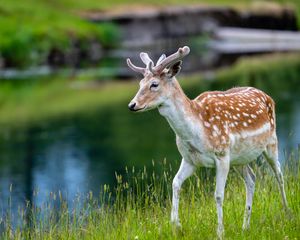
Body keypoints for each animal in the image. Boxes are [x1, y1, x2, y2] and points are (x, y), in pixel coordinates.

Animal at [126, 46, 288, 237]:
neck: (197, 131)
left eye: (154, 84)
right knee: (251, 179)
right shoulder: (190, 159)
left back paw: (287, 213)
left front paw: (220, 232)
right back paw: (245, 226)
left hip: (271, 141)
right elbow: (175, 183)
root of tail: (268, 96)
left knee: (279, 174)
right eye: (139, 84)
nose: (132, 105)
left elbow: (218, 195)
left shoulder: (222, 154)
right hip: (239, 159)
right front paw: (176, 225)